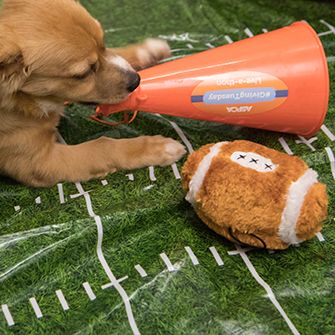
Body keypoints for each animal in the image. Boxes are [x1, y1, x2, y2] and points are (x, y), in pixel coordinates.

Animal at [0, 0, 186, 188]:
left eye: (103, 43)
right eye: (83, 74)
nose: (136, 81)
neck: (23, 101)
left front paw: (146, 51)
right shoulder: (39, 162)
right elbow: (102, 146)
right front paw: (156, 147)